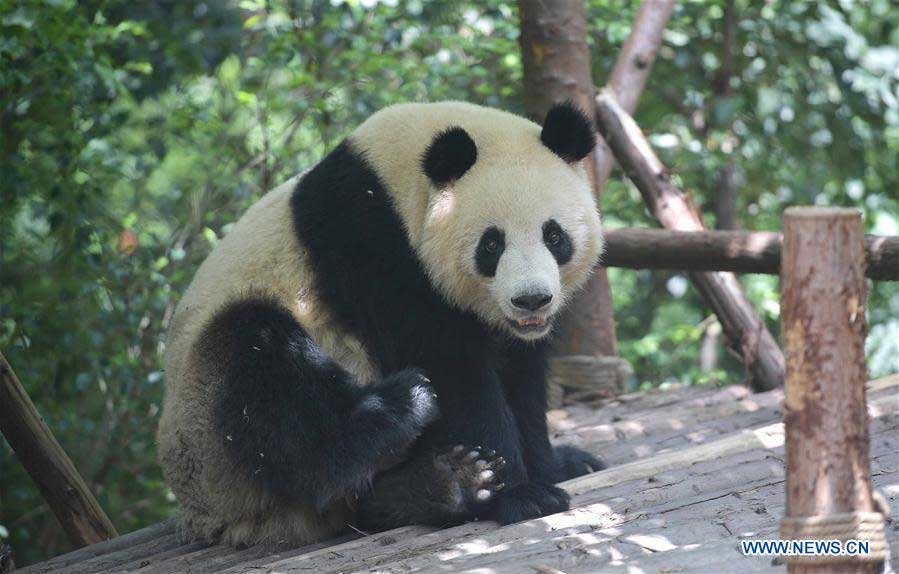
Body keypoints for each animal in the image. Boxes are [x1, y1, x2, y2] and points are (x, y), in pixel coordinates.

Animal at [157, 100, 606, 547]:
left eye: (554, 236)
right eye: (492, 244)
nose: (531, 300)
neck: (396, 183)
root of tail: (202, 515)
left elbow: (522, 380)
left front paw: (551, 468)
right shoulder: (374, 246)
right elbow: (450, 368)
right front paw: (517, 492)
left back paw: (440, 486)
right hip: (207, 427)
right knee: (266, 371)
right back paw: (411, 418)